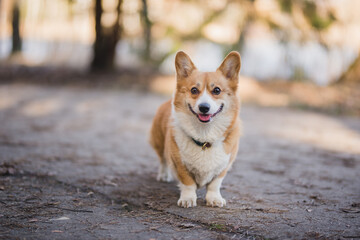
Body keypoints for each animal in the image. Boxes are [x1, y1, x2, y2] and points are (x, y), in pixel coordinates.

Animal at [149, 51, 242, 208]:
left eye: (217, 90)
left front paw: (214, 199)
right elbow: (188, 183)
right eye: (194, 90)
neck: (205, 136)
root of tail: (167, 101)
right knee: (162, 159)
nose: (204, 107)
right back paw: (163, 175)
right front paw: (187, 199)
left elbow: (215, 184)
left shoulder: (224, 165)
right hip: (159, 142)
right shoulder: (180, 163)